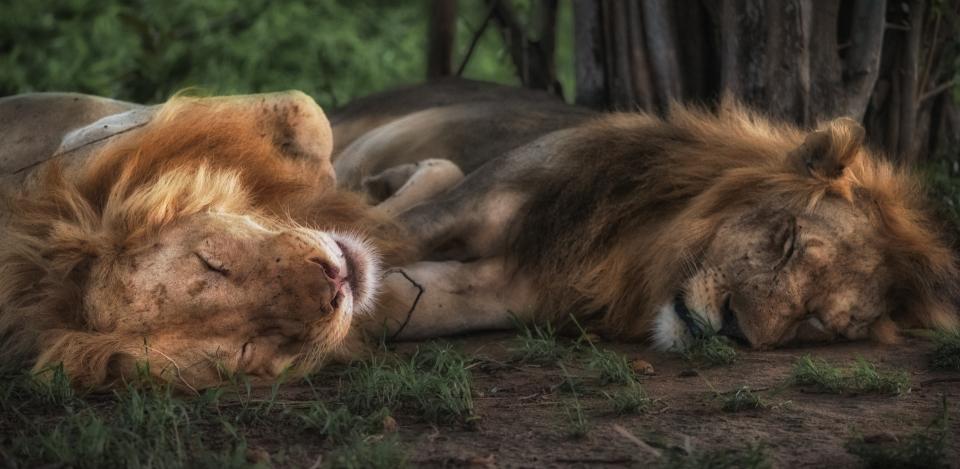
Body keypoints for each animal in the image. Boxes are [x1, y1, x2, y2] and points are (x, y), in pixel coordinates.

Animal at [331, 79, 959, 350]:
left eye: (818, 322)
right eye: (786, 242)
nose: (733, 327)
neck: (633, 249)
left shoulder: (497, 291)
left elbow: (386, 302)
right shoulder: (456, 214)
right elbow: (370, 235)